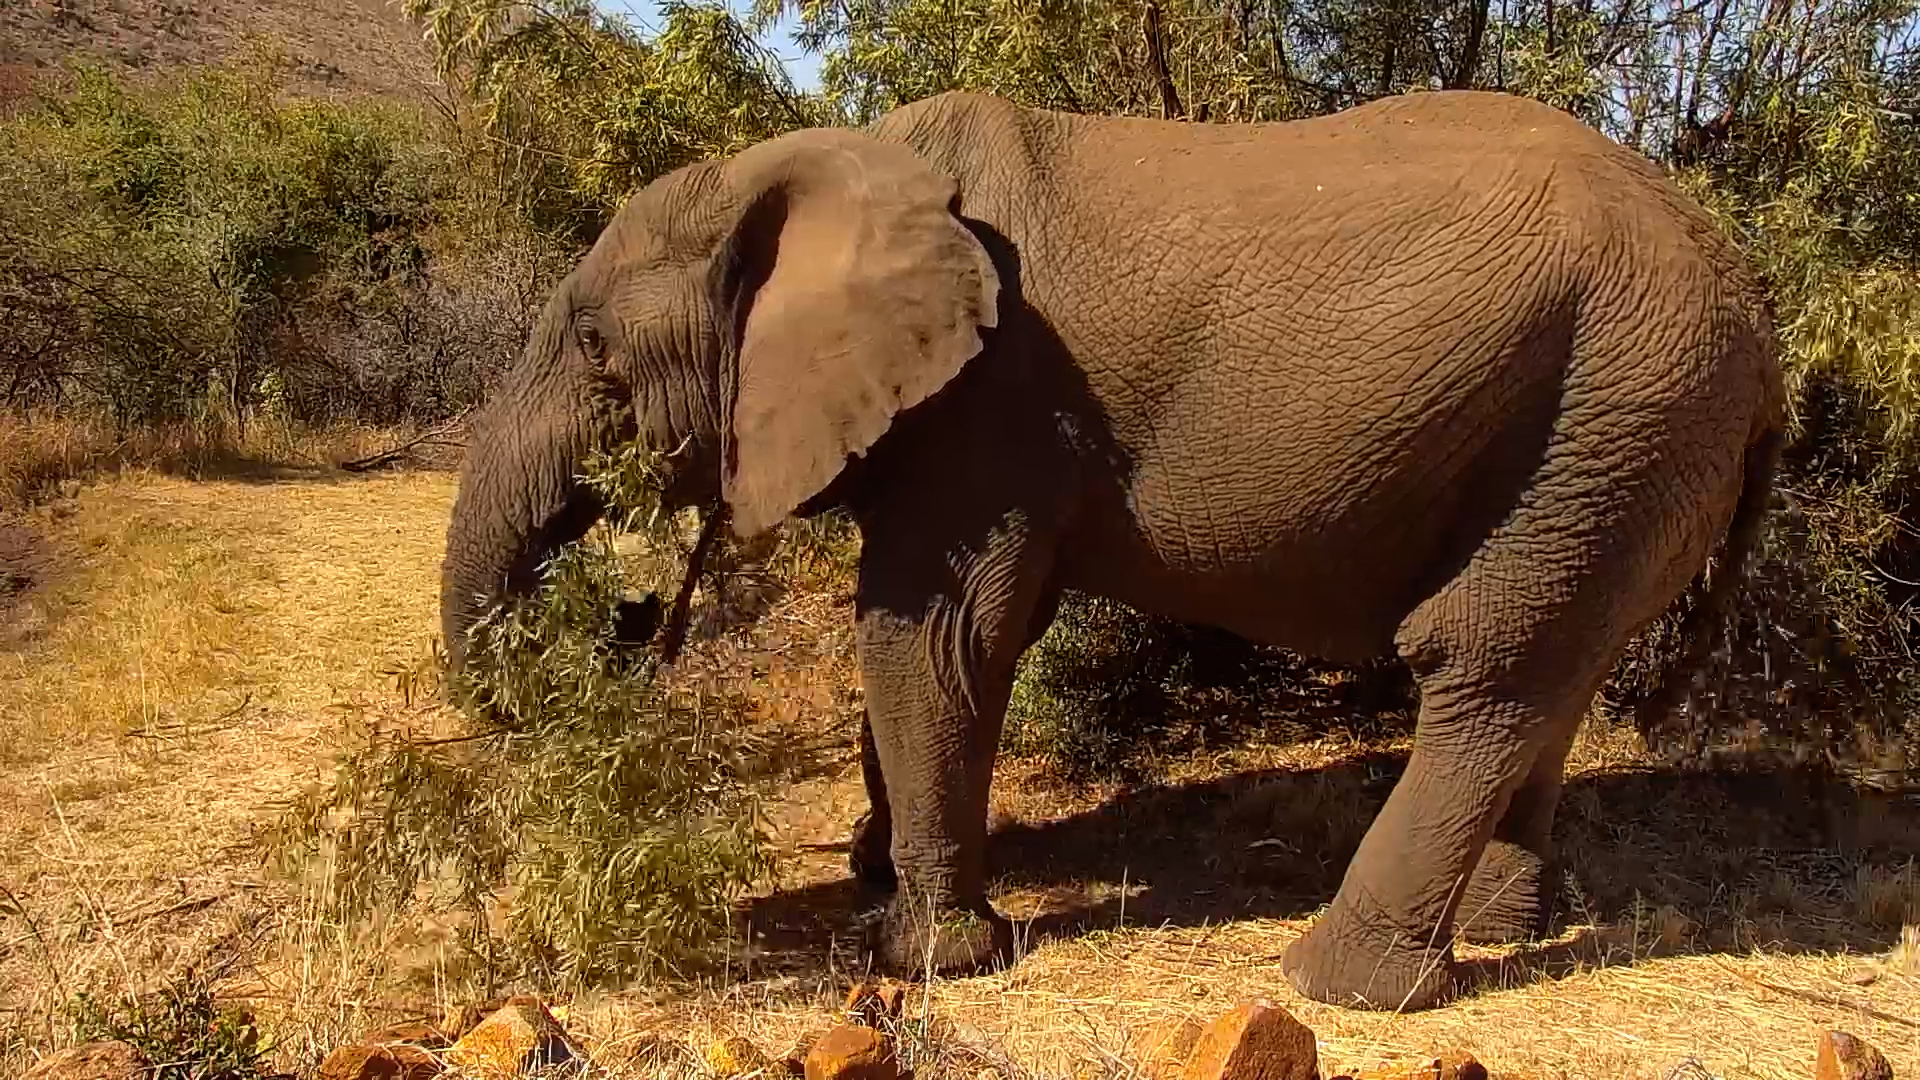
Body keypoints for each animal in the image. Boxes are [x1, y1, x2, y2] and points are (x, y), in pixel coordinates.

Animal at [437, 87, 1786, 1010]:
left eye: (597, 353)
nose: (627, 615)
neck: (817, 161)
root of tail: (1759, 304)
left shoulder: (988, 404)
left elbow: (931, 635)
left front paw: (927, 954)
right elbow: (945, 640)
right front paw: (880, 879)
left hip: (1625, 401)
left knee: (1485, 663)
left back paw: (1332, 985)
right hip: (1618, 446)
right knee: (1555, 663)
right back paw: (1505, 929)